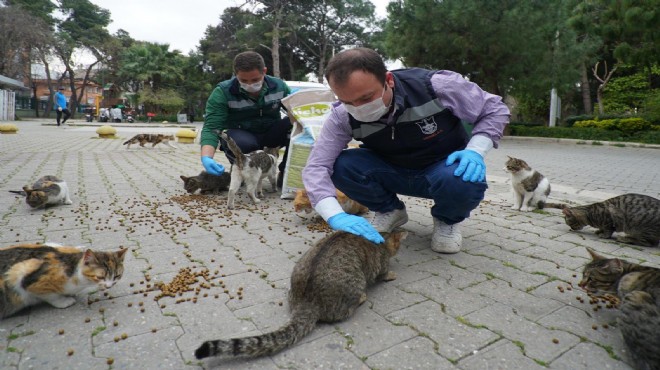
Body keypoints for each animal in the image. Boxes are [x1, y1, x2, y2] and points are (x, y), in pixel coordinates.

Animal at [192, 230, 408, 360]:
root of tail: (307, 300)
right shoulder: (380, 266)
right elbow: (383, 273)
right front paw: (391, 274)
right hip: (355, 285)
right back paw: (361, 298)